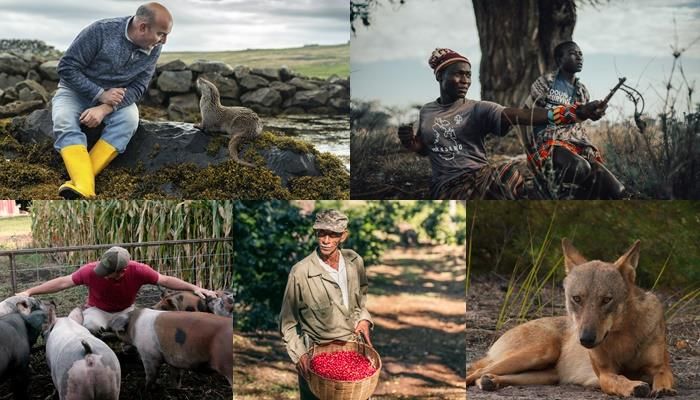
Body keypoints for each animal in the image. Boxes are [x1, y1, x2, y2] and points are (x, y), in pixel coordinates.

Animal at [468, 238, 676, 396]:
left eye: (606, 299)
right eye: (577, 299)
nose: (585, 339)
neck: (623, 337)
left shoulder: (660, 367)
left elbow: (663, 375)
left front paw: (662, 389)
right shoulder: (605, 374)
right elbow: (618, 378)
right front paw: (634, 386)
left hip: (546, 374)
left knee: (481, 374)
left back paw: (490, 381)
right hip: (541, 352)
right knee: (475, 371)